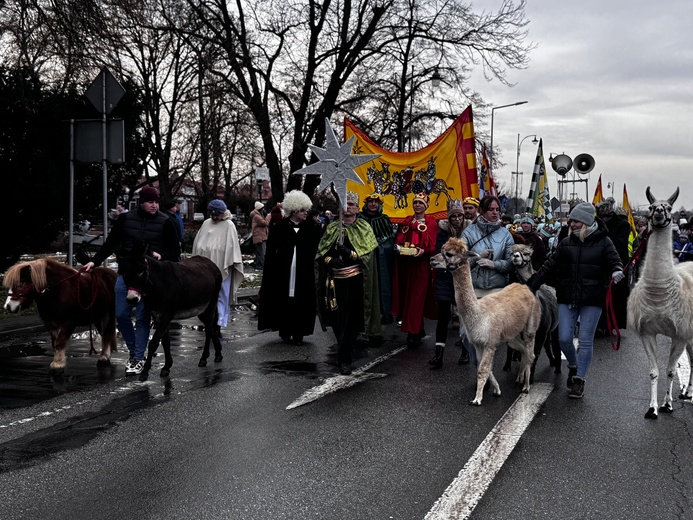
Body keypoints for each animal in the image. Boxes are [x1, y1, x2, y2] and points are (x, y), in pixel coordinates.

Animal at [121, 246, 224, 380]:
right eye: (124, 273)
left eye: (141, 271)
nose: (131, 299)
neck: (158, 285)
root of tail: (211, 263)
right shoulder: (157, 317)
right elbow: (165, 342)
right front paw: (166, 367)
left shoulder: (166, 316)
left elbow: (154, 343)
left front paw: (145, 372)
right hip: (201, 308)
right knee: (210, 327)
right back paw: (218, 353)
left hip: (211, 303)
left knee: (209, 329)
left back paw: (204, 358)